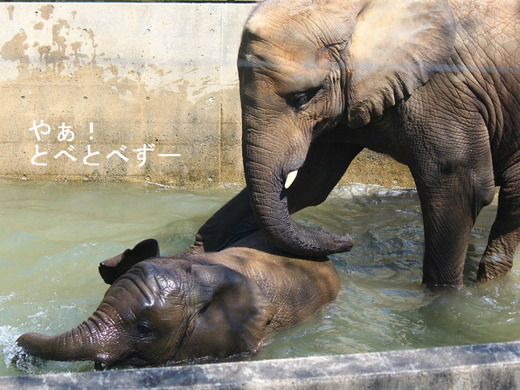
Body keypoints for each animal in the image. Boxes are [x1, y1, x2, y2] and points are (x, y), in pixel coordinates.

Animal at [194, 0, 520, 288]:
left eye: (303, 97)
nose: (347, 240)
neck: (355, 14)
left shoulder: (443, 93)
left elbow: (461, 185)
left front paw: (442, 301)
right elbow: (313, 182)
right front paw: (199, 253)